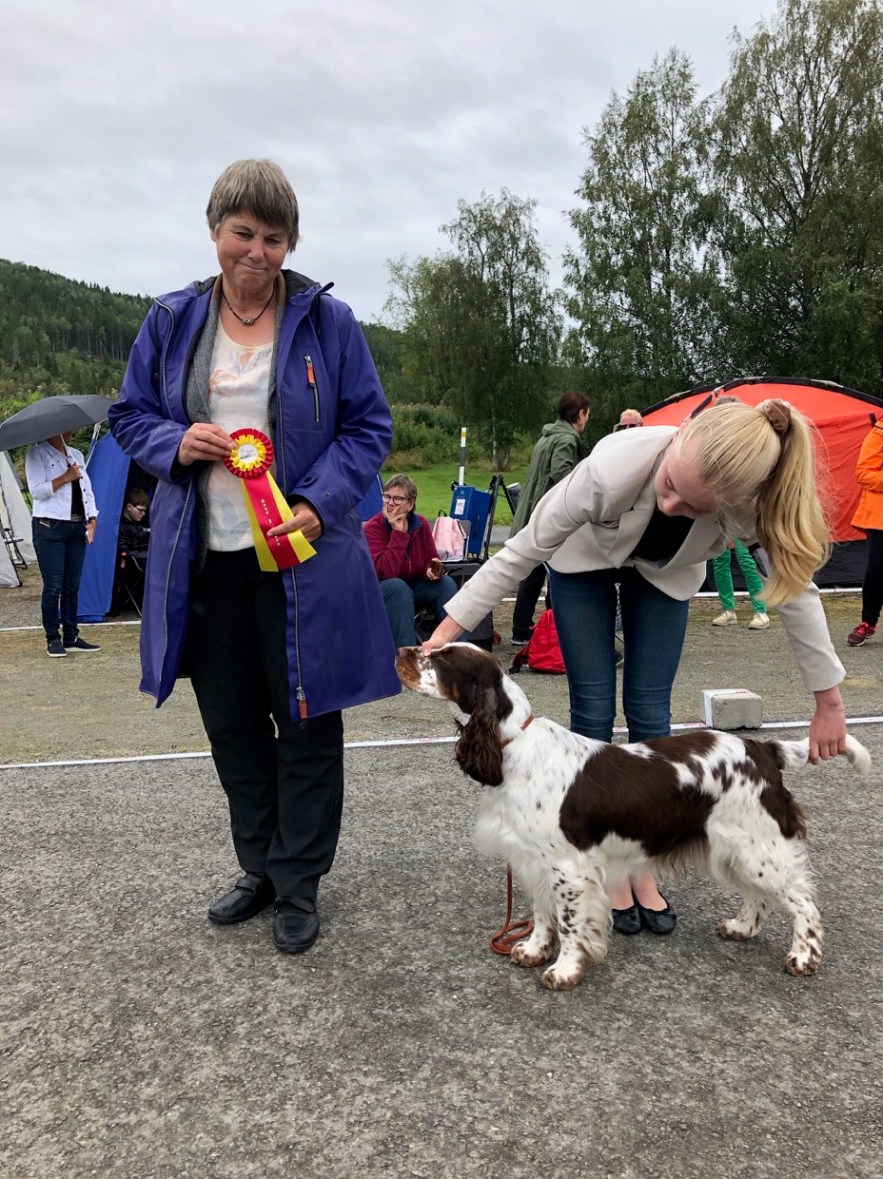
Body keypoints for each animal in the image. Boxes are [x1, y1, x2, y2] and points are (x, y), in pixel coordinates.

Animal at [395, 642, 870, 991]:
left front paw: (564, 971)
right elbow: (543, 914)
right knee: (759, 897)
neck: (512, 745)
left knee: (802, 901)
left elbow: (570, 923)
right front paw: (532, 950)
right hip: (733, 846)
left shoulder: (569, 868)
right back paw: (740, 927)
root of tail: (763, 749)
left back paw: (803, 957)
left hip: (759, 846)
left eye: (441, 658)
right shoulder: (533, 860)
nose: (402, 649)